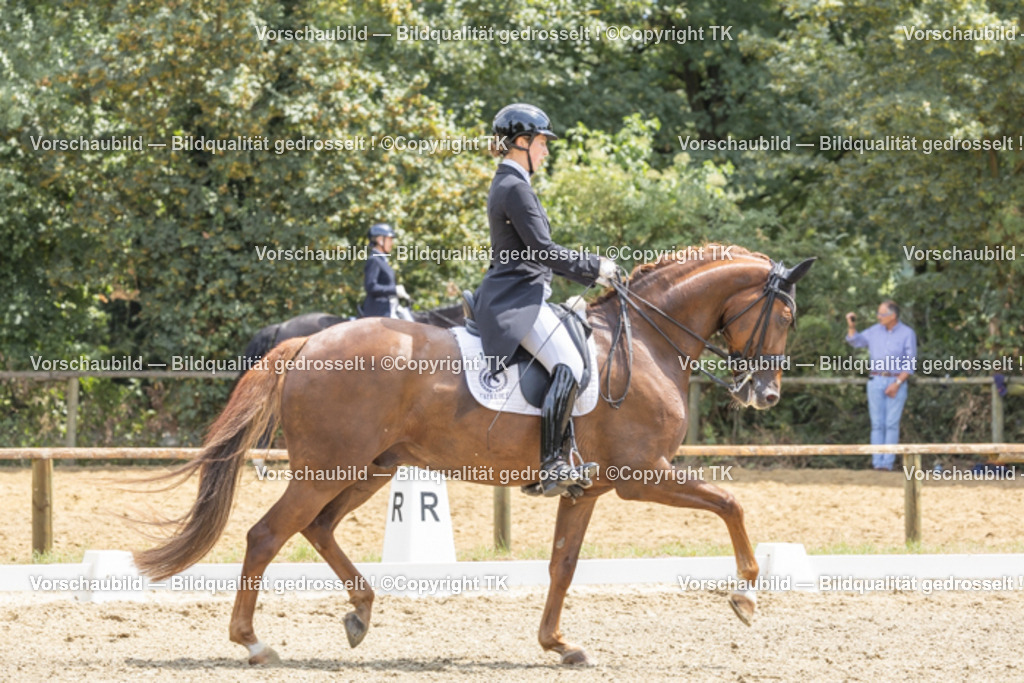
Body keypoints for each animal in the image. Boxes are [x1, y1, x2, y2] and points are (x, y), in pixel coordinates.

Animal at [134, 245, 814, 666]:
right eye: (785, 314)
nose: (766, 393)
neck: (644, 342)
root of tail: (305, 342)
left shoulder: (589, 488)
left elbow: (563, 564)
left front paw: (558, 644)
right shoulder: (640, 475)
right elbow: (730, 502)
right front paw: (746, 598)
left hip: (370, 468)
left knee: (318, 528)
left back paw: (360, 614)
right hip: (328, 468)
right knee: (267, 534)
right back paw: (254, 644)